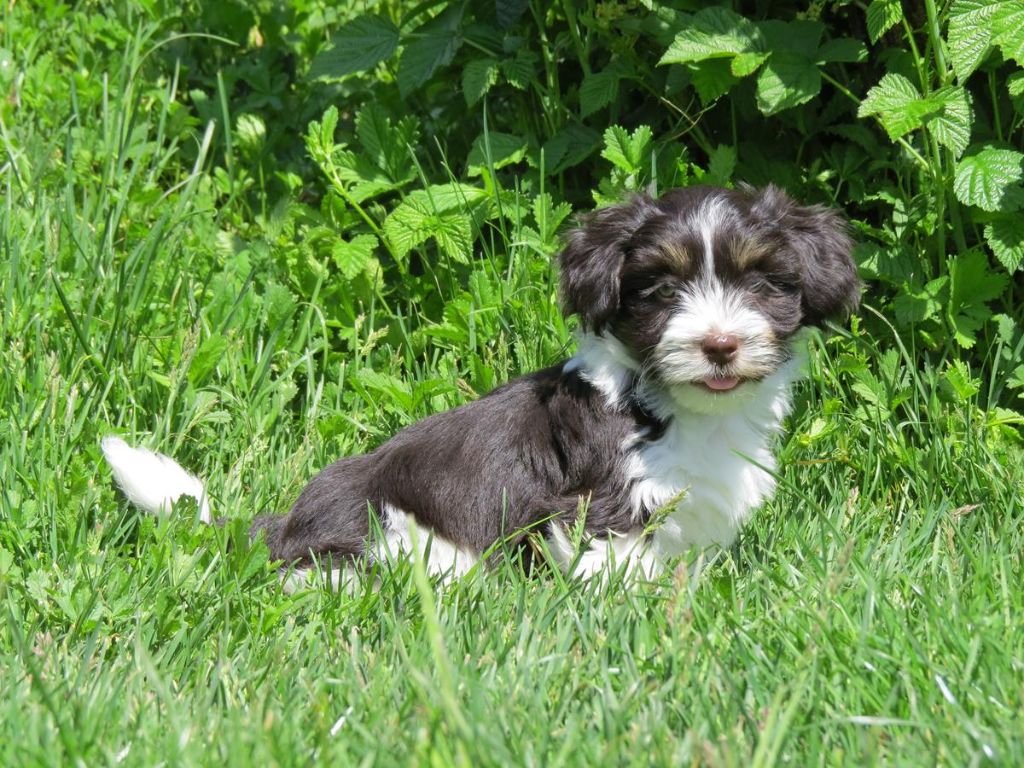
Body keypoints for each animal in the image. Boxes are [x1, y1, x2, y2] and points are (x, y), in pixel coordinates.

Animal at [102, 184, 858, 587]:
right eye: (663, 289)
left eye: (759, 281)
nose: (719, 343)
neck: (677, 408)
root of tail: (284, 526)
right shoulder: (603, 504)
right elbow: (612, 563)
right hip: (381, 535)